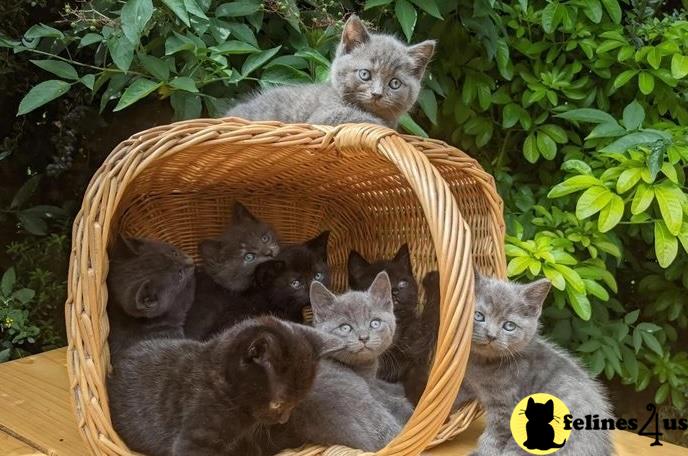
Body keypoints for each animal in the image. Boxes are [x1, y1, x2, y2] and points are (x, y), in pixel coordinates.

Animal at [262, 270, 412, 452]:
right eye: (345, 327)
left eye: (375, 323)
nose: (364, 337)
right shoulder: (368, 386)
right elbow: (385, 396)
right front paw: (401, 398)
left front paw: (395, 387)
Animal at [454, 274, 612, 456]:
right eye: (479, 316)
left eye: (509, 326)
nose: (491, 335)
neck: (483, 365)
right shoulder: (469, 383)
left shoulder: (506, 407)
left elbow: (494, 437)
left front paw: (483, 452)